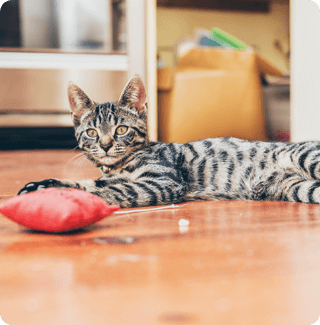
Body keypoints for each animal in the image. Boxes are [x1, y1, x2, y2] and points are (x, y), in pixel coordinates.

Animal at [17, 75, 320, 206]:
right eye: (91, 132)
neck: (118, 166)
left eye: (121, 129)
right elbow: (85, 183)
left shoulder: (163, 181)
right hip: (297, 188)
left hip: (307, 158)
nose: (104, 145)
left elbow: (116, 191)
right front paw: (43, 185)